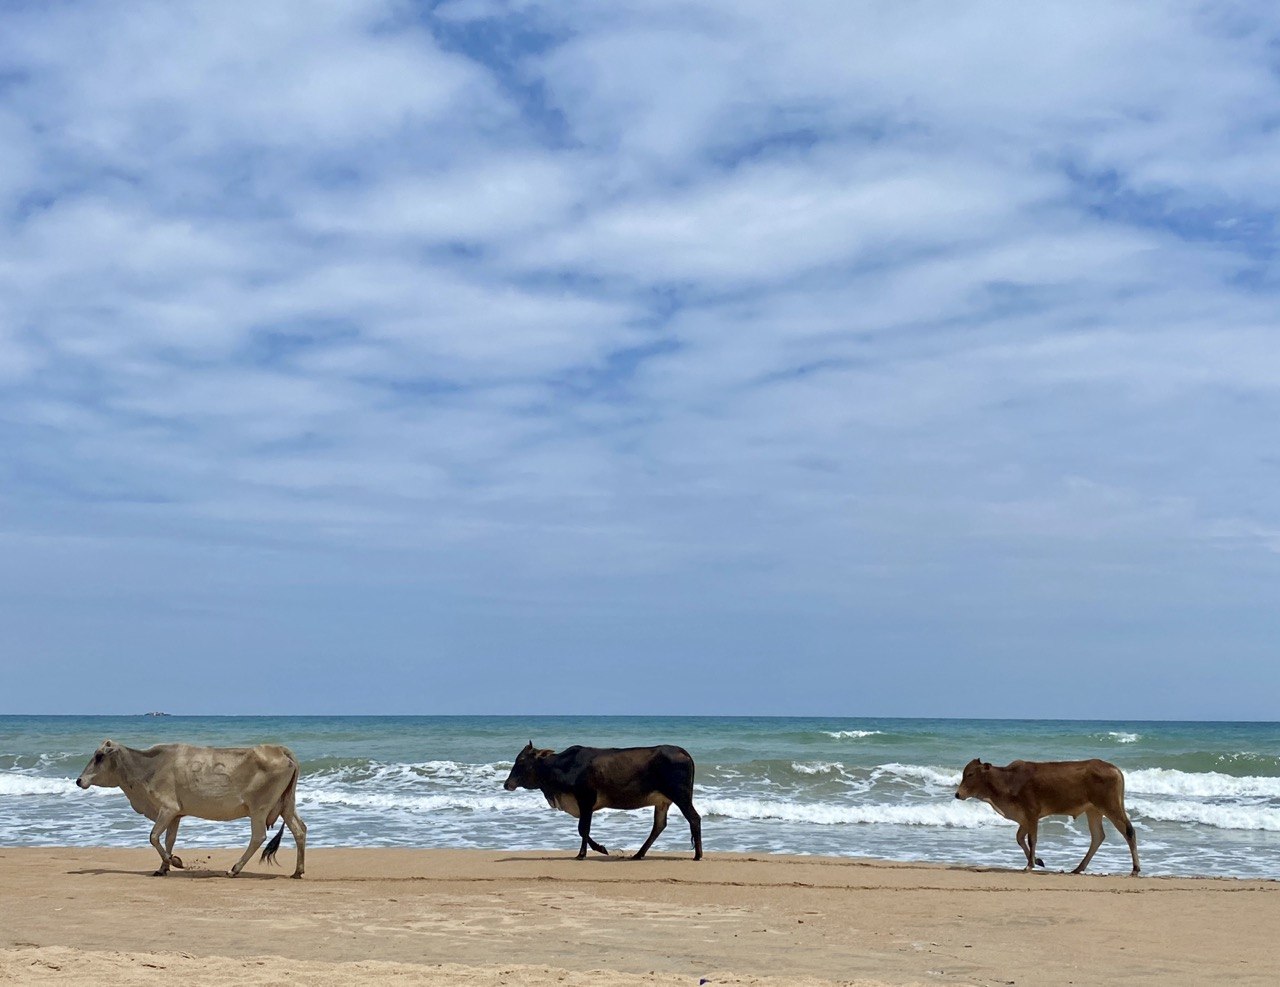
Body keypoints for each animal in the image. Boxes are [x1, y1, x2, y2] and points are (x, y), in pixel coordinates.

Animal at [75, 739, 307, 878]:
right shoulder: (176, 814)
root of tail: (280, 749)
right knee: (300, 830)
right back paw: (298, 871)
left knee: (258, 836)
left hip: (259, 808)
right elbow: (168, 839)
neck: (148, 767)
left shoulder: (167, 808)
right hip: (286, 805)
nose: (78, 780)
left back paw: (234, 869)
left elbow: (153, 836)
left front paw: (175, 862)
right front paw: (163, 867)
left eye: (99, 756)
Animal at [503, 742, 703, 860]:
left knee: (694, 818)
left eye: (521, 760)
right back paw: (638, 854)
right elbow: (583, 830)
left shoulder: (586, 800)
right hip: (663, 801)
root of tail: (682, 751)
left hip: (681, 795)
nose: (506, 784)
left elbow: (583, 829)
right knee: (659, 826)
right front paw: (595, 849)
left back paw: (698, 855)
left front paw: (587, 852)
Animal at [955, 757, 1140, 875]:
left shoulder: (1032, 813)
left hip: (1110, 807)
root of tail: (1114, 768)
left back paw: (1135, 869)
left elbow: (1031, 839)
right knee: (1098, 836)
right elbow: (1019, 838)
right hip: (1093, 811)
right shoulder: (1024, 819)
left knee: (1128, 831)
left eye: (970, 774)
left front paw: (1030, 865)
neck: (1007, 780)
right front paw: (1037, 861)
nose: (957, 794)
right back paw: (1078, 868)